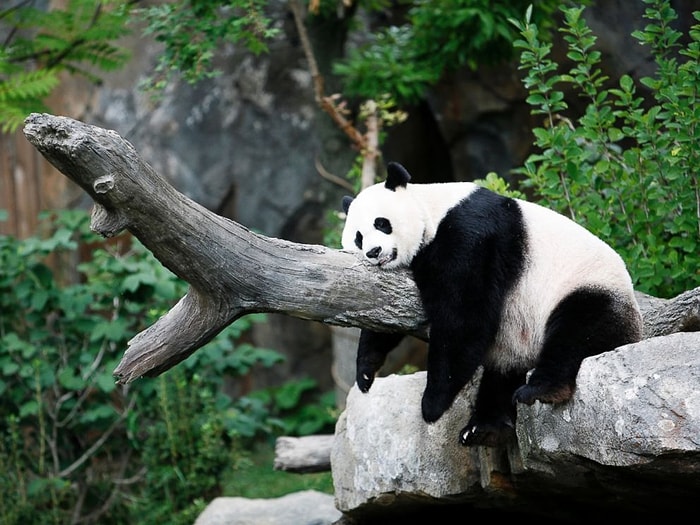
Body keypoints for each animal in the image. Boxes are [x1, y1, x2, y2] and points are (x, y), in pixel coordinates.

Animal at [341, 162, 643, 447]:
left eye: (381, 223)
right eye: (358, 237)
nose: (374, 252)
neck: (432, 210)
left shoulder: (470, 235)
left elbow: (463, 316)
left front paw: (432, 404)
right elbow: (386, 311)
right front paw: (366, 372)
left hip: (587, 288)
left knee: (576, 331)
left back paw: (541, 390)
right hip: (516, 342)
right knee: (503, 374)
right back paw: (484, 428)